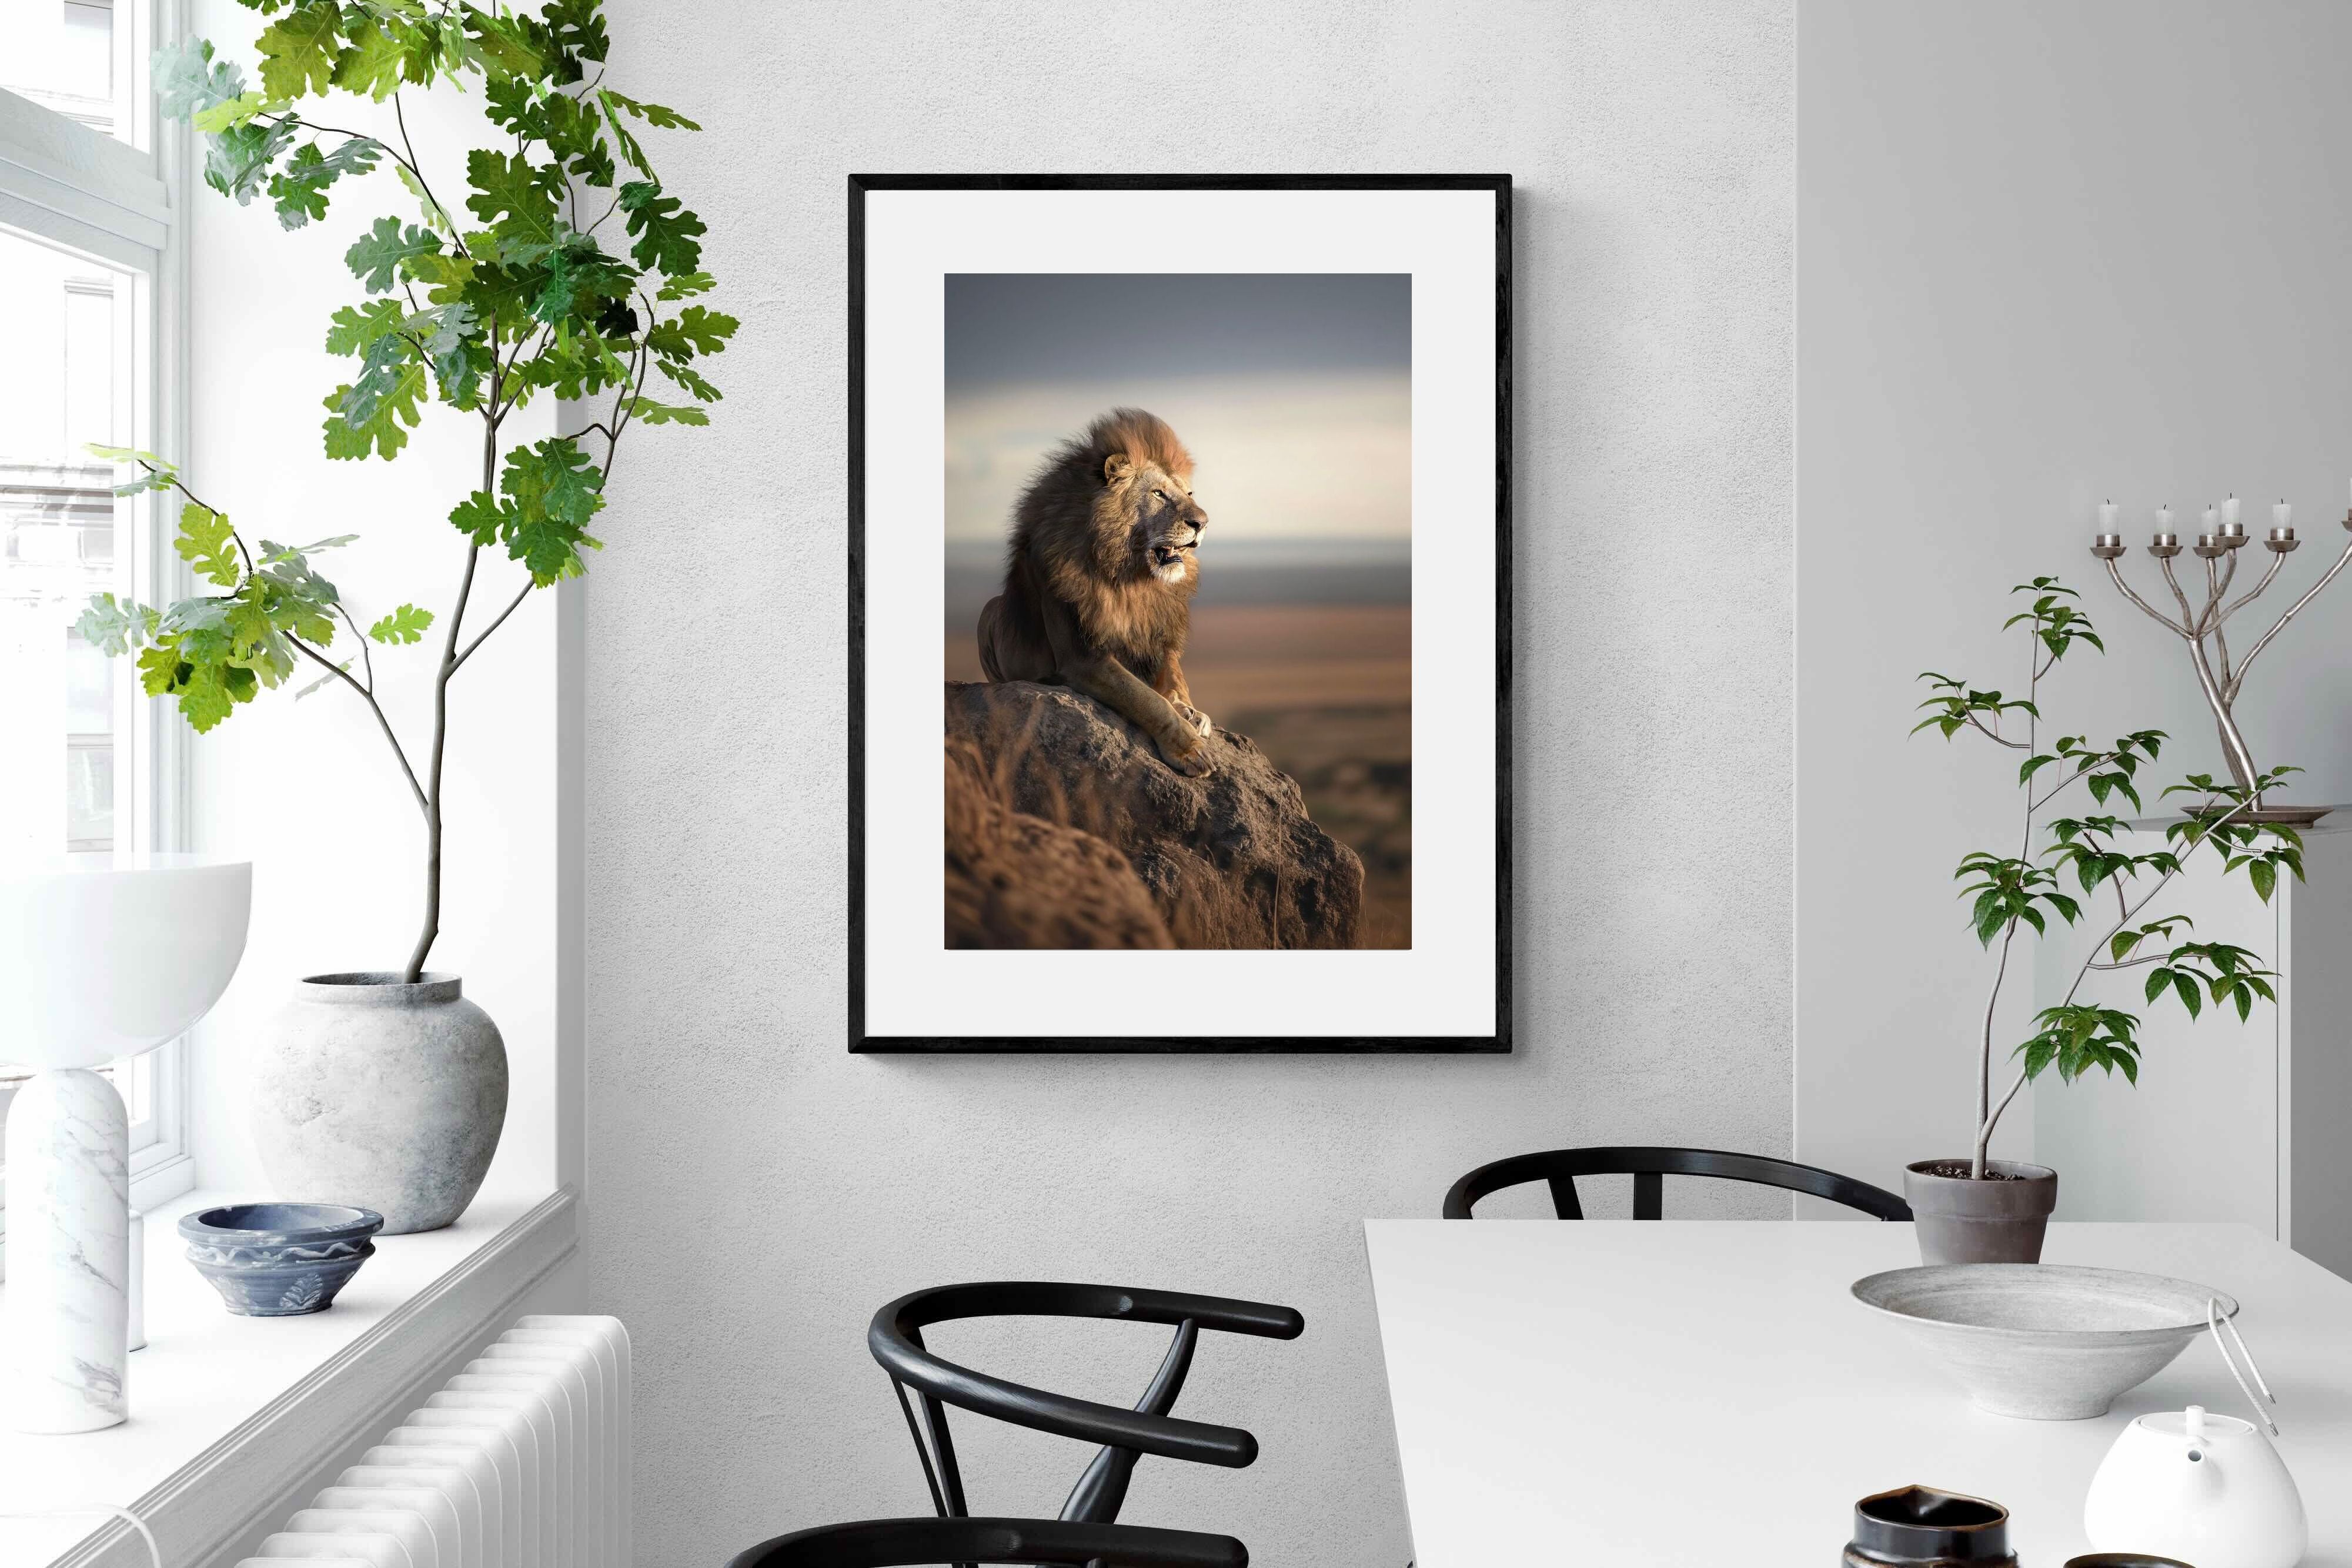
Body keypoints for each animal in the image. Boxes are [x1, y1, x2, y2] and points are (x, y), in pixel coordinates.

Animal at [976, 407, 1216, 776]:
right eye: (1158, 494)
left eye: (1189, 495)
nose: (1202, 523)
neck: (1131, 576)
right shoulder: (1082, 658)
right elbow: (1146, 699)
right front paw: (1190, 748)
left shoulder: (1158, 635)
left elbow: (1175, 680)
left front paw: (1191, 711)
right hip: (989, 612)